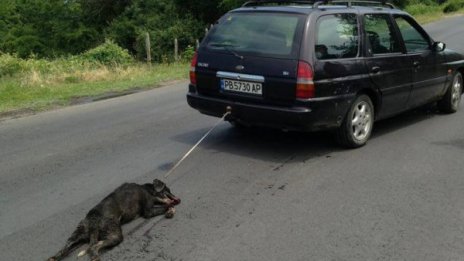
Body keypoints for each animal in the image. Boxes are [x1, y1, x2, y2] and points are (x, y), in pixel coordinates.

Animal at [47, 179, 180, 260]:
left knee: (64, 250)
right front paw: (170, 210)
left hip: (77, 235)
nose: (179, 199)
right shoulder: (148, 211)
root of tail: (93, 221)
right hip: (115, 235)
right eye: (168, 191)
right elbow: (167, 206)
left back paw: (54, 257)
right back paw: (95, 256)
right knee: (94, 247)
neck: (147, 189)